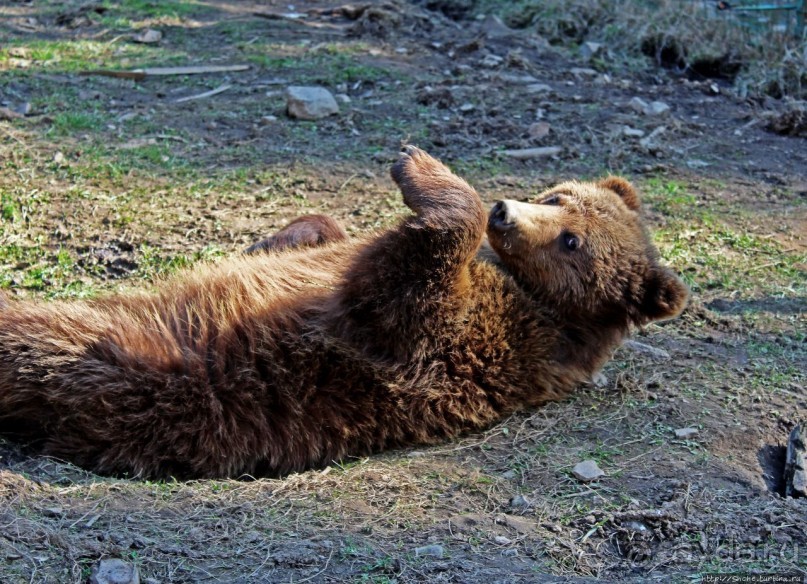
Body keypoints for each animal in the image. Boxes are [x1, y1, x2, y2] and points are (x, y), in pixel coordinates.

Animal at [0, 147, 688, 480]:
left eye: (572, 240)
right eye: (557, 195)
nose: (504, 212)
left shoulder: (474, 337)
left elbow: (410, 288)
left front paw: (420, 166)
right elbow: (328, 236)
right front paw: (279, 238)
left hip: (126, 357)